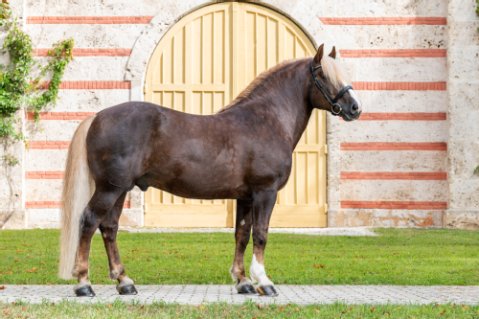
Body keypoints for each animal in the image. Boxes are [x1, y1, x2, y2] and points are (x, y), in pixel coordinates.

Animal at [58, 44, 362, 298]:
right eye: (323, 74)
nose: (355, 108)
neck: (266, 121)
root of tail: (97, 117)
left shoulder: (246, 197)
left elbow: (242, 234)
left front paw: (243, 282)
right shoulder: (265, 192)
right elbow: (261, 234)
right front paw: (264, 282)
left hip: (120, 189)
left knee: (109, 227)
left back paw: (125, 282)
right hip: (110, 189)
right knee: (89, 222)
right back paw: (84, 284)